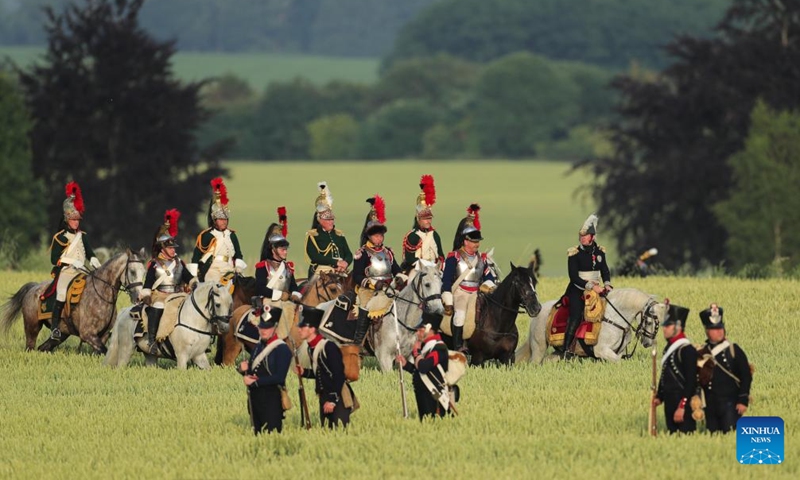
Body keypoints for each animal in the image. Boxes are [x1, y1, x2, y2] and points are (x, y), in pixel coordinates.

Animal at [0, 249, 148, 354]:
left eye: (144, 272)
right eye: (132, 271)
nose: (139, 297)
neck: (101, 293)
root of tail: (33, 287)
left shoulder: (103, 335)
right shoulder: (87, 334)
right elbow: (104, 351)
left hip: (61, 334)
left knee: (43, 348)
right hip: (32, 328)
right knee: (30, 347)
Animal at [516, 288, 664, 364]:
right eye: (649, 322)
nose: (648, 343)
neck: (614, 318)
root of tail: (538, 312)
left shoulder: (618, 351)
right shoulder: (601, 350)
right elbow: (618, 361)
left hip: (558, 351)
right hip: (539, 347)